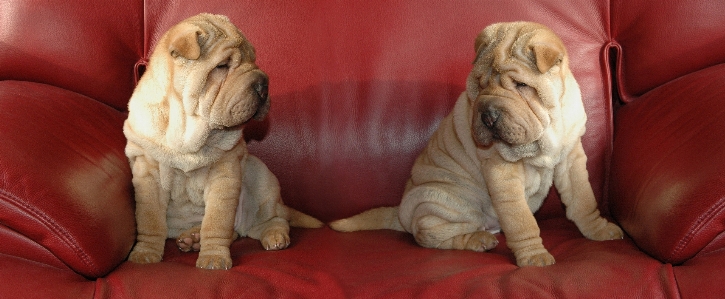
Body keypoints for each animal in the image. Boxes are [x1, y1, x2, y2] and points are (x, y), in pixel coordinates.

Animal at [124, 14, 322, 270]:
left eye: (253, 60)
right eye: (222, 66)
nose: (264, 84)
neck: (188, 134)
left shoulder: (225, 174)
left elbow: (216, 222)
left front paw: (213, 258)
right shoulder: (148, 175)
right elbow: (150, 221)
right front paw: (145, 254)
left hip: (261, 177)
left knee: (272, 219)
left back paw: (274, 236)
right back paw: (192, 238)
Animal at [334, 22, 624, 268]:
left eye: (521, 85)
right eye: (479, 86)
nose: (487, 115)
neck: (548, 125)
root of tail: (401, 212)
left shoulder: (570, 156)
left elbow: (583, 200)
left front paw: (599, 230)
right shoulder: (502, 171)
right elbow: (521, 221)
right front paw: (534, 257)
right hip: (446, 201)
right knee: (431, 236)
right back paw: (477, 239)